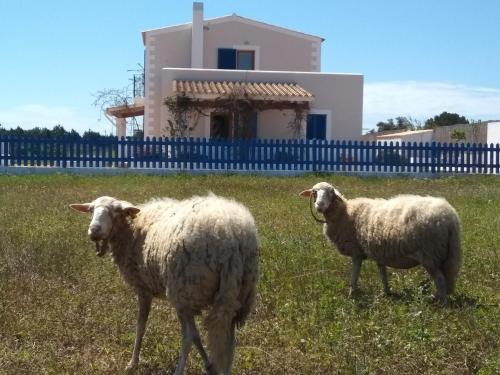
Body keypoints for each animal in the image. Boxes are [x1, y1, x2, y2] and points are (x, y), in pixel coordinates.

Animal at [69, 194, 258, 375]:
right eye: (91, 210)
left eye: (116, 211)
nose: (94, 231)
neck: (132, 228)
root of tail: (233, 237)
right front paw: (209, 366)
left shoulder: (143, 289)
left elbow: (141, 326)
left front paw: (132, 363)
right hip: (237, 295)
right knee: (228, 339)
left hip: (183, 291)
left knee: (189, 337)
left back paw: (178, 370)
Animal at [298, 184, 462, 304]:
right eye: (314, 192)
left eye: (331, 193)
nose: (319, 205)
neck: (345, 214)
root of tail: (450, 217)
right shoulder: (379, 251)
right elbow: (382, 273)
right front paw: (386, 292)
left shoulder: (357, 252)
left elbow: (354, 275)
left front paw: (351, 294)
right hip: (445, 254)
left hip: (430, 253)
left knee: (440, 280)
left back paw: (441, 303)